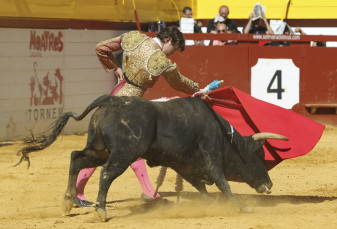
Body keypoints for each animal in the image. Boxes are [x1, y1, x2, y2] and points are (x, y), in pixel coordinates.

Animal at [16, 94, 286, 220]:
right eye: (259, 157)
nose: (270, 183)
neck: (223, 136)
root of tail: (112, 100)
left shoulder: (184, 164)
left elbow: (200, 186)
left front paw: (209, 203)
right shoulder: (209, 158)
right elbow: (222, 183)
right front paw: (242, 206)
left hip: (99, 149)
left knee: (76, 158)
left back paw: (67, 202)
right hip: (123, 153)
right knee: (106, 173)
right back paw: (100, 210)